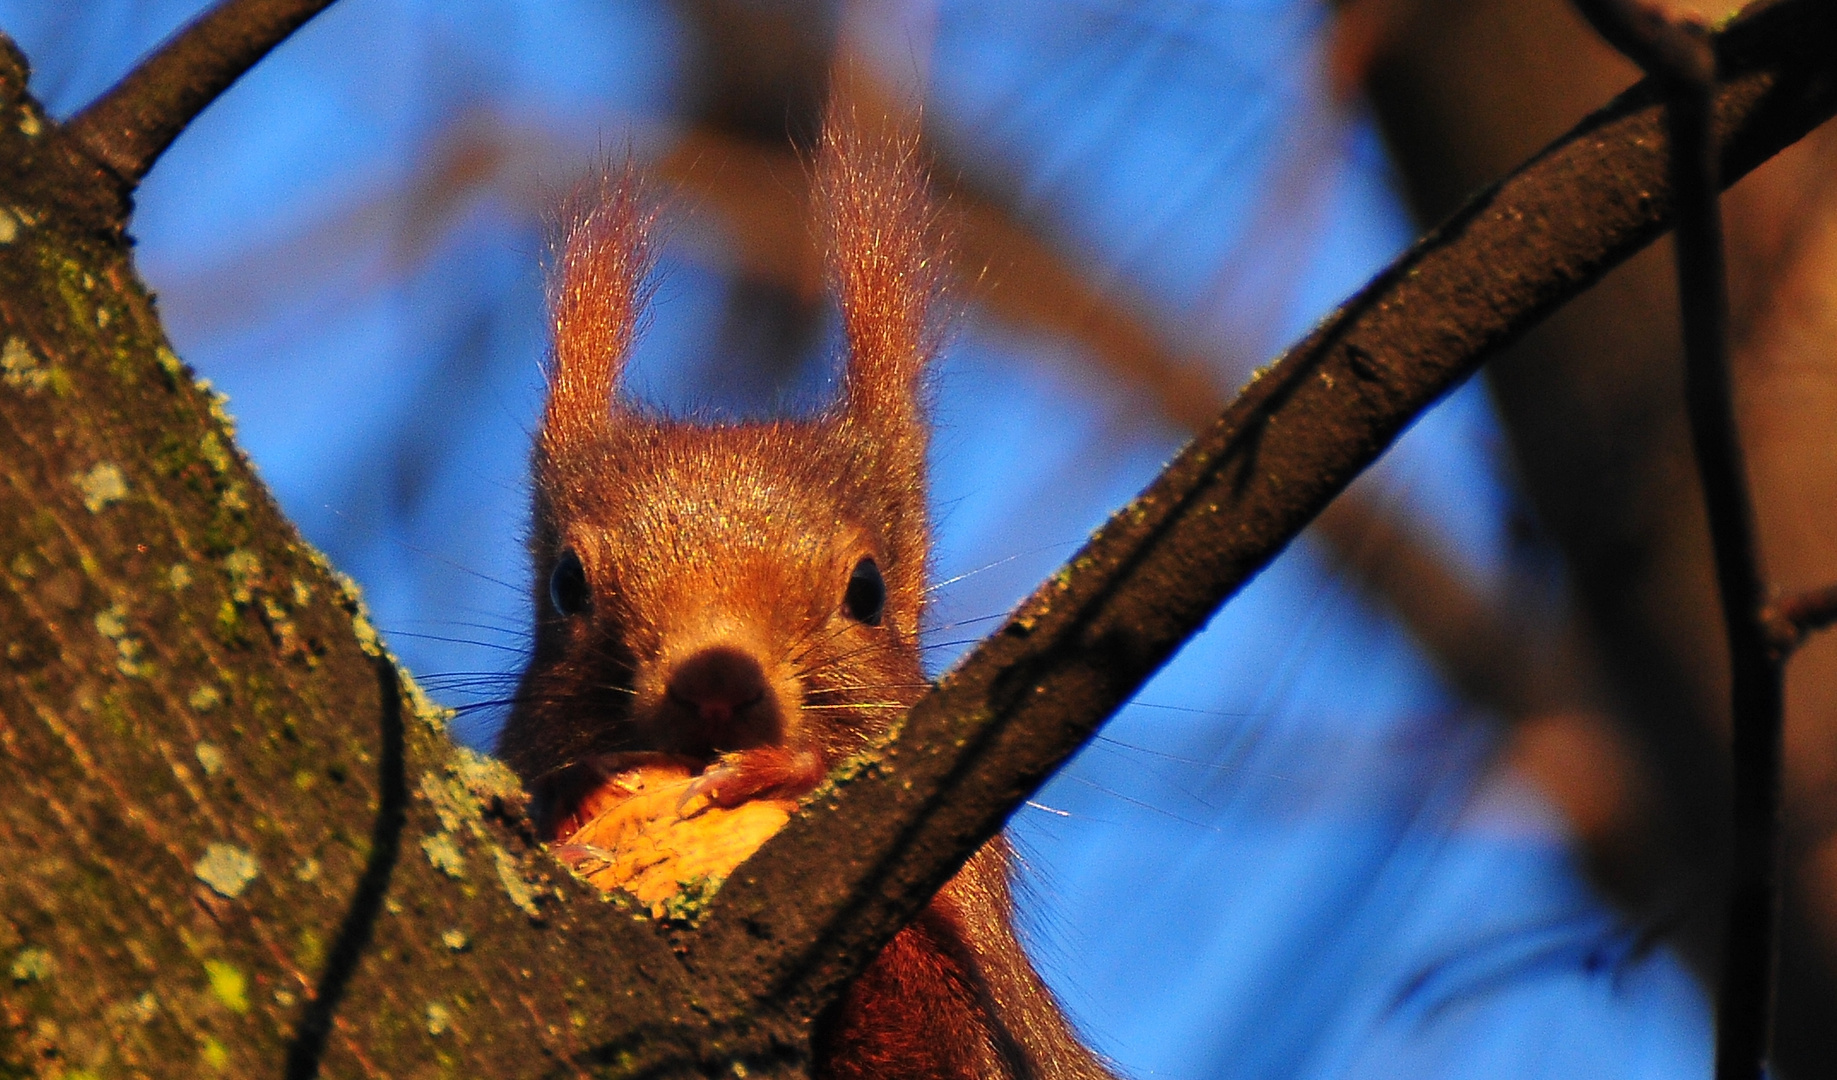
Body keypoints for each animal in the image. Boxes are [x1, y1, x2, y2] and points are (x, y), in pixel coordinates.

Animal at [495, 111, 1109, 1080]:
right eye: (567, 584)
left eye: (867, 590)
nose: (715, 682)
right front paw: (580, 809)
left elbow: (948, 1037)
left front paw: (793, 772)